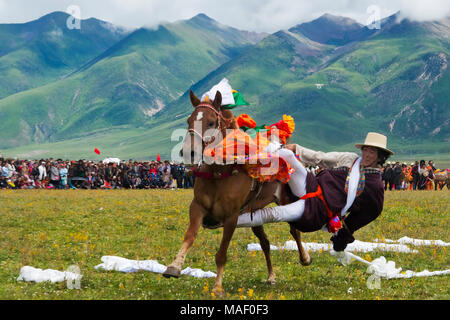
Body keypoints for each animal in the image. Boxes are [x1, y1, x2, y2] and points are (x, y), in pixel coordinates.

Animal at [163, 90, 312, 296]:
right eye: (189, 120)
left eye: (211, 122)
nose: (189, 152)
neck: (219, 174)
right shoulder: (197, 207)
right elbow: (189, 236)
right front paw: (174, 266)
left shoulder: (231, 217)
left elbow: (221, 254)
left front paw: (217, 287)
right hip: (255, 213)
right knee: (265, 243)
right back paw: (271, 276)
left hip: (285, 201)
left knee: (294, 230)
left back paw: (305, 258)